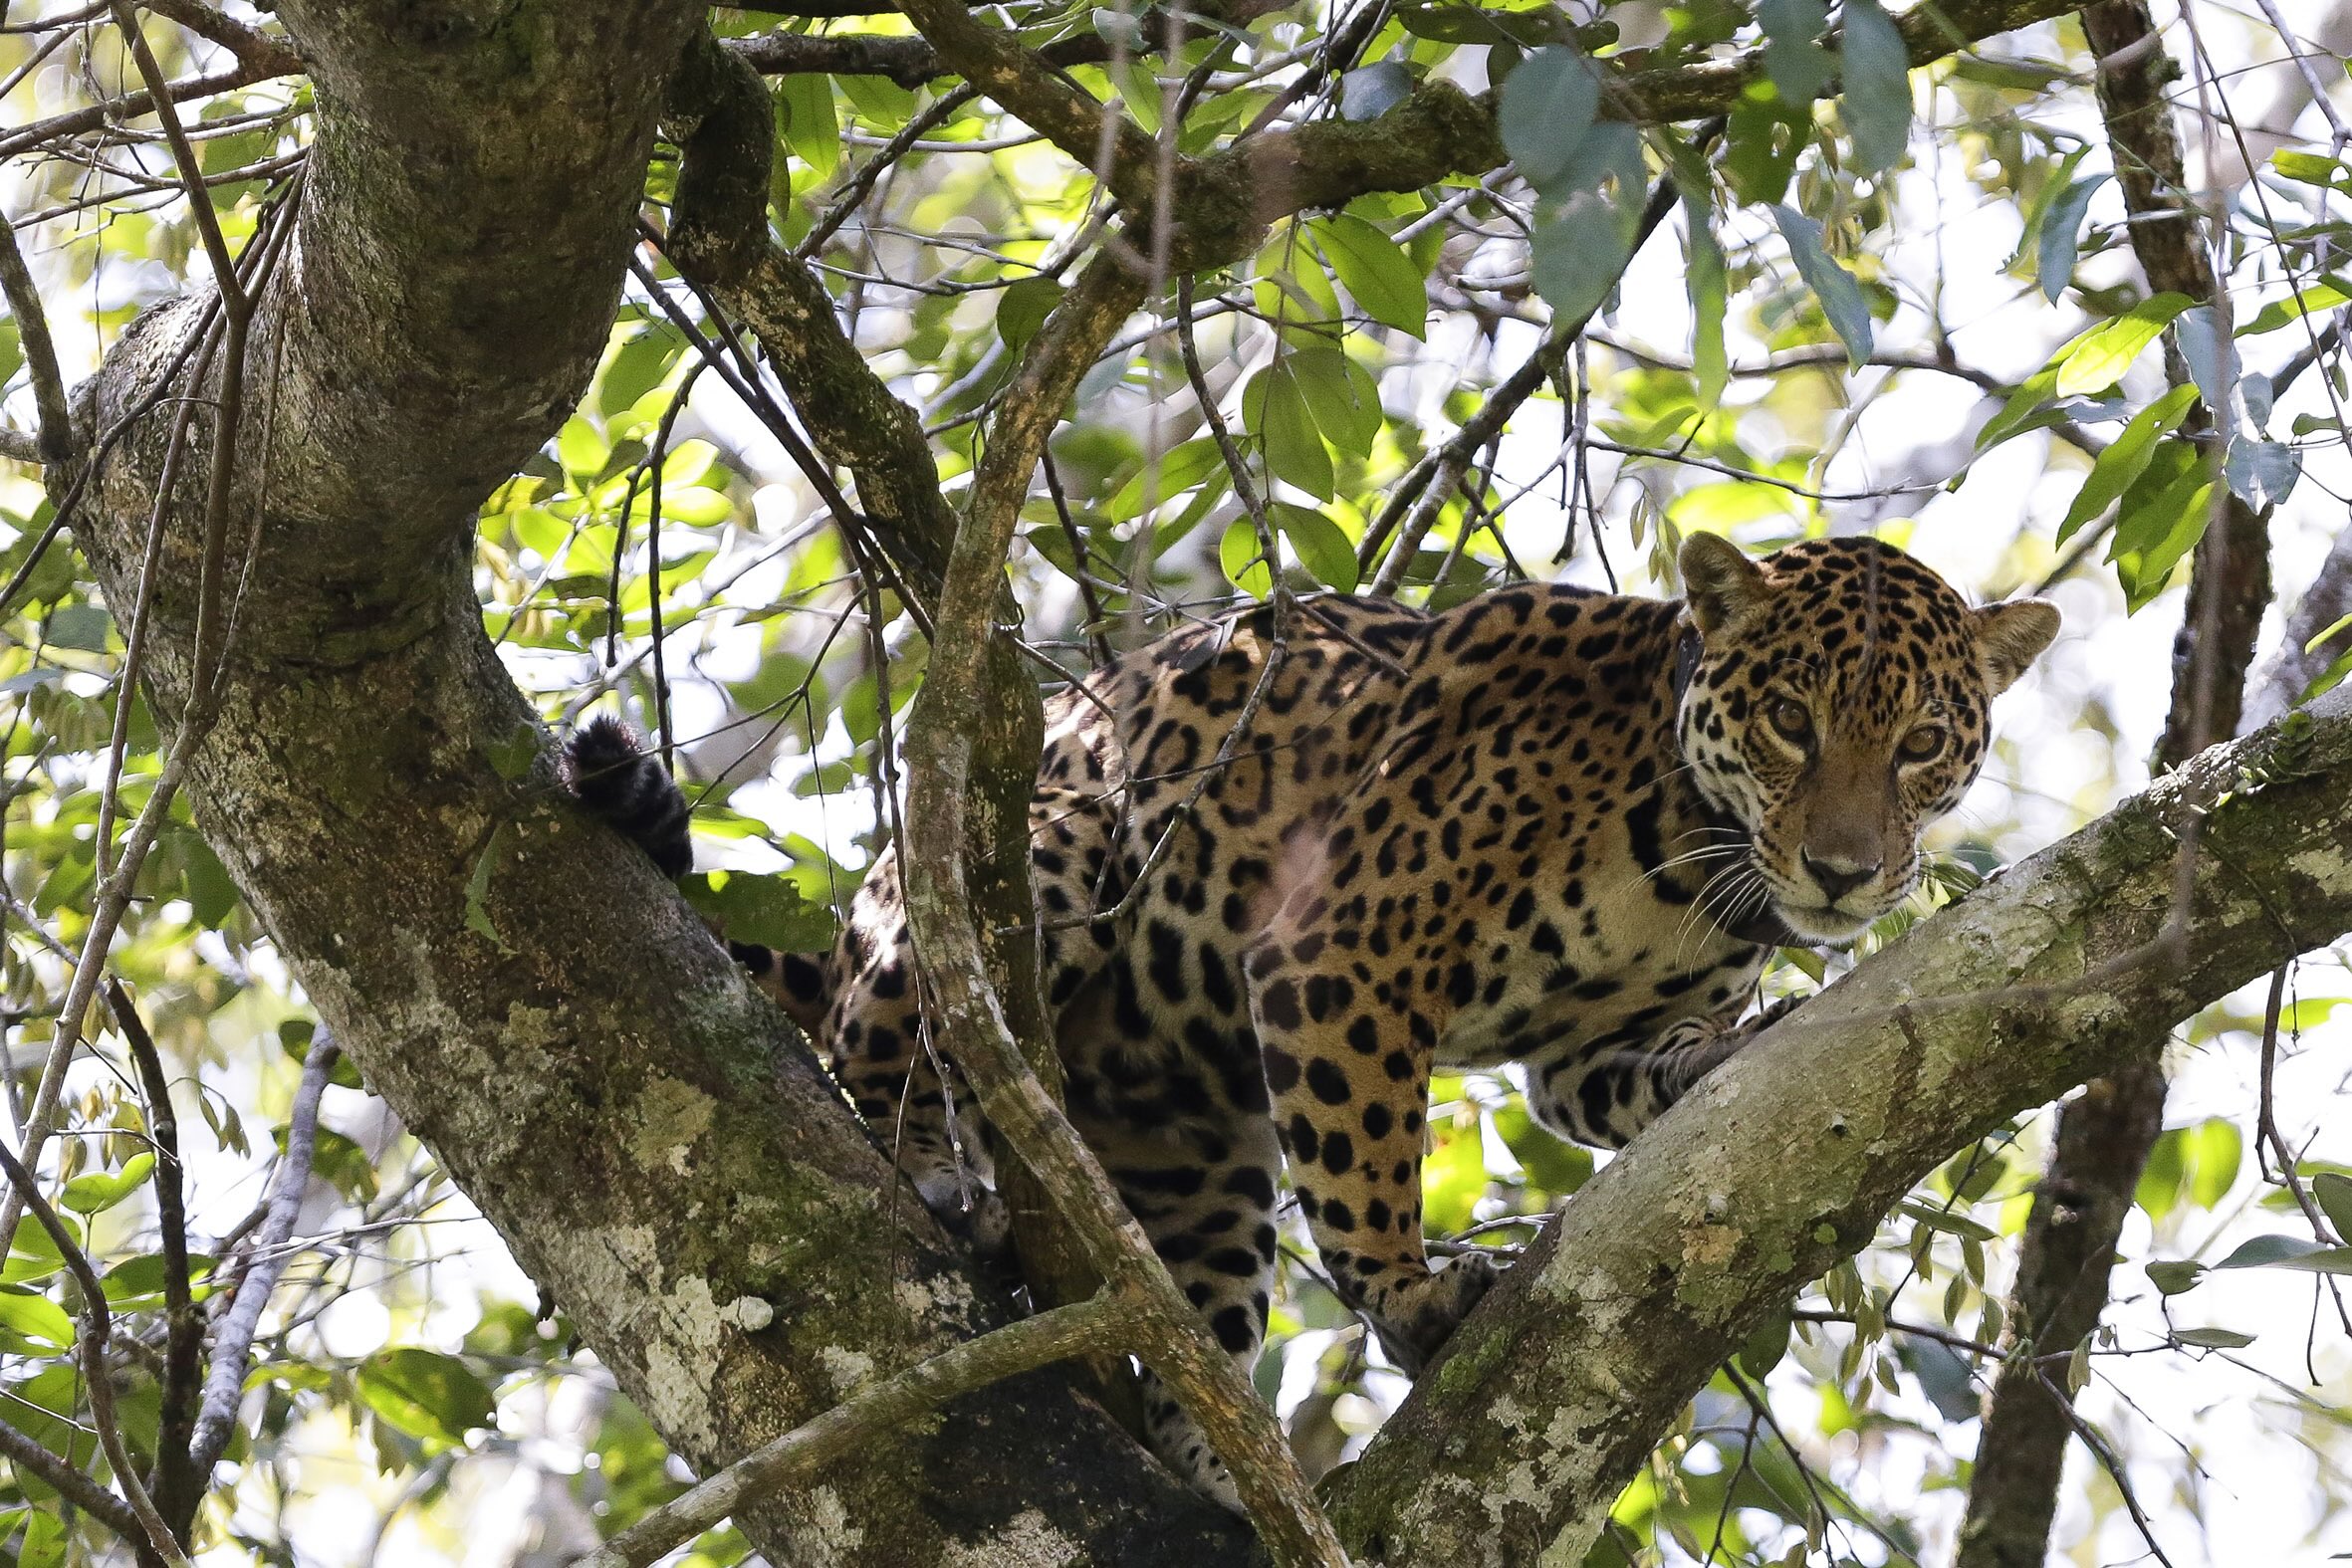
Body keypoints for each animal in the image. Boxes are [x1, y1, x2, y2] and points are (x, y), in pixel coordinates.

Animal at [565, 532, 2059, 1506]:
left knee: (1198, 1284)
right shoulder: (1344, 950)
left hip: (1187, 1149)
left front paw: (1728, 1056)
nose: (1846, 871)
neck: (1691, 859)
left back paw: (1215, 1454)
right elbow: (1361, 1156)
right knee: (887, 1017)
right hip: (1039, 848)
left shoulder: (1580, 1055)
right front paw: (1408, 1291)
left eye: (1924, 743)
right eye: (1794, 719)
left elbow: (1632, 1076)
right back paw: (929, 1164)